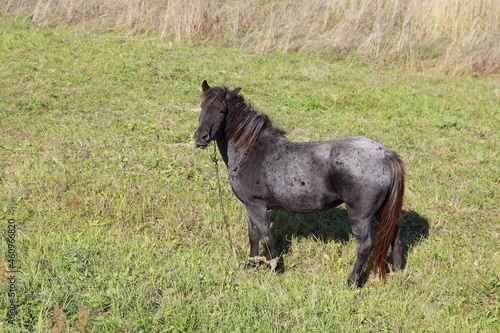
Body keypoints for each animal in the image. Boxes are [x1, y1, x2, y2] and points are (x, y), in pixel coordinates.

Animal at [193, 80, 404, 286]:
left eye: (222, 110)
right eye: (202, 106)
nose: (200, 137)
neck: (252, 150)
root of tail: (386, 155)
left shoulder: (256, 205)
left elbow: (266, 236)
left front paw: (274, 267)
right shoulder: (249, 206)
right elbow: (253, 235)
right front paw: (252, 264)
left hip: (360, 215)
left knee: (365, 245)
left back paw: (352, 282)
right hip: (382, 210)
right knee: (394, 232)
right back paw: (398, 269)